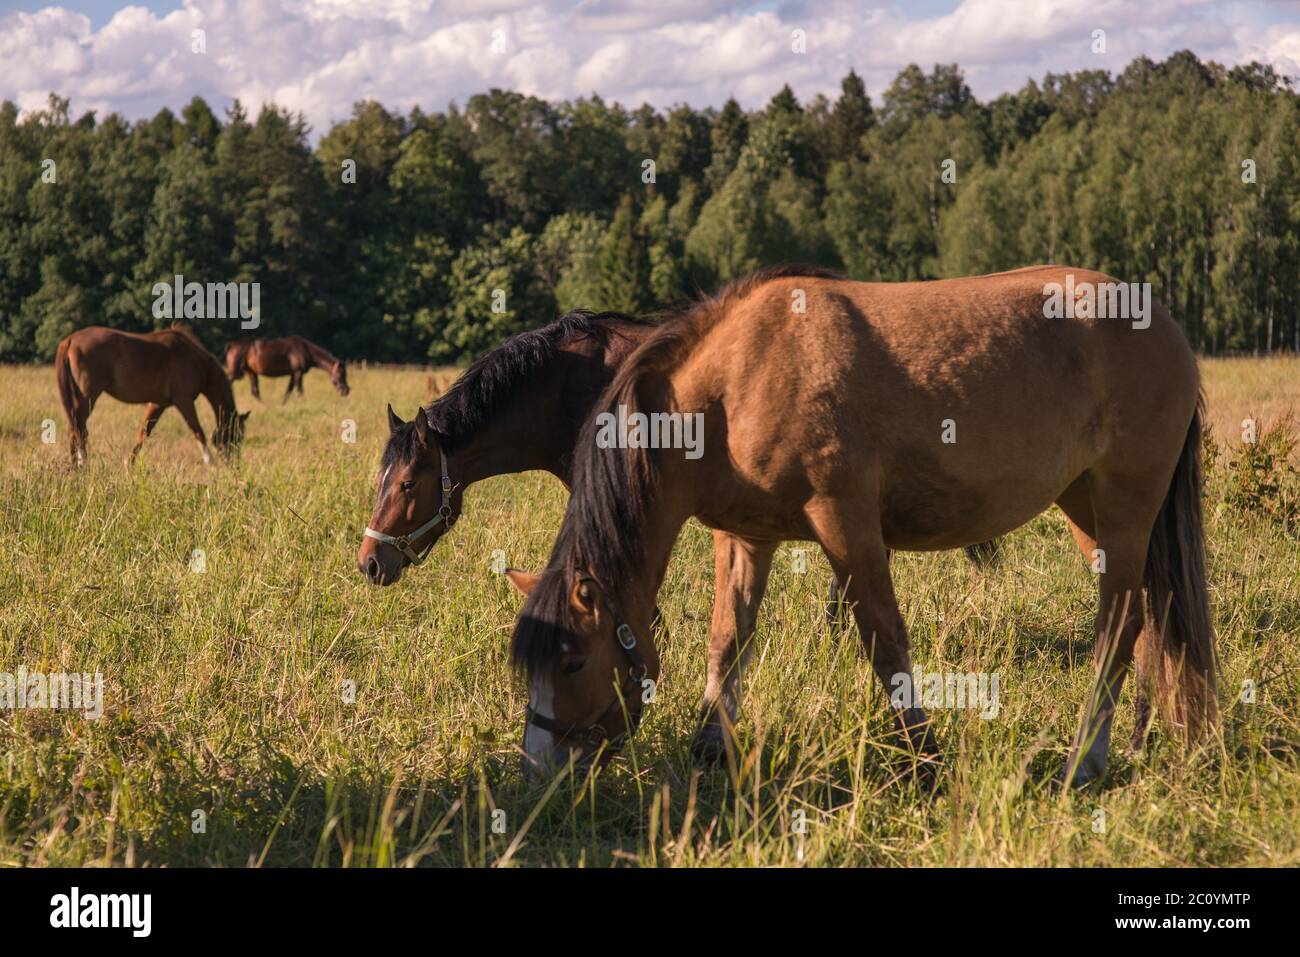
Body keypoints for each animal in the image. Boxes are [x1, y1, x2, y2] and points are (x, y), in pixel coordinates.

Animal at [55, 325, 249, 466]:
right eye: (237, 436)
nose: (234, 464)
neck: (195, 359)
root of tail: (69, 340)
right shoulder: (184, 401)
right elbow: (197, 430)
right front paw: (210, 461)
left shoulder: (157, 404)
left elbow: (143, 433)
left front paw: (129, 463)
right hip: (87, 398)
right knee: (78, 428)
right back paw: (82, 462)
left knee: (74, 428)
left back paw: (75, 465)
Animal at [505, 264, 1217, 789]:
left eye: (571, 661)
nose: (538, 773)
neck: (735, 383)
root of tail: (1166, 326)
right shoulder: (743, 537)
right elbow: (727, 641)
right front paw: (712, 746)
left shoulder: (843, 521)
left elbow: (884, 642)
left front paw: (925, 760)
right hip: (1086, 506)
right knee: (1149, 615)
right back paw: (1141, 739)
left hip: (1125, 504)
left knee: (1119, 622)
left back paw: (1084, 760)